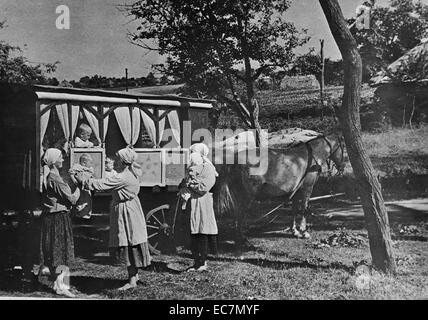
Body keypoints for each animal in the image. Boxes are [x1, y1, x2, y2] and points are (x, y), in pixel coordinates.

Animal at [212, 134, 346, 246]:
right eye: (343, 147)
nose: (342, 167)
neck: (310, 158)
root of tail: (234, 158)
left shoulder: (296, 191)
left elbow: (294, 210)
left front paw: (295, 231)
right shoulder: (307, 189)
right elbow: (304, 209)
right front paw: (304, 232)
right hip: (247, 195)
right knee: (240, 214)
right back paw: (242, 239)